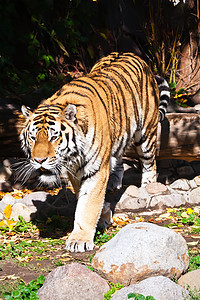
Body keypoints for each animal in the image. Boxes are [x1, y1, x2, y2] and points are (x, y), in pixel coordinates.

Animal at [18, 52, 170, 252]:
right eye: (33, 137)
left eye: (54, 137)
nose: (39, 160)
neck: (73, 156)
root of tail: (131, 54)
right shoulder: (75, 172)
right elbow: (85, 198)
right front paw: (104, 212)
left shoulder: (95, 170)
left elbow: (88, 204)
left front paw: (79, 240)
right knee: (119, 158)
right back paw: (114, 183)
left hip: (145, 133)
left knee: (149, 164)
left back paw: (147, 187)